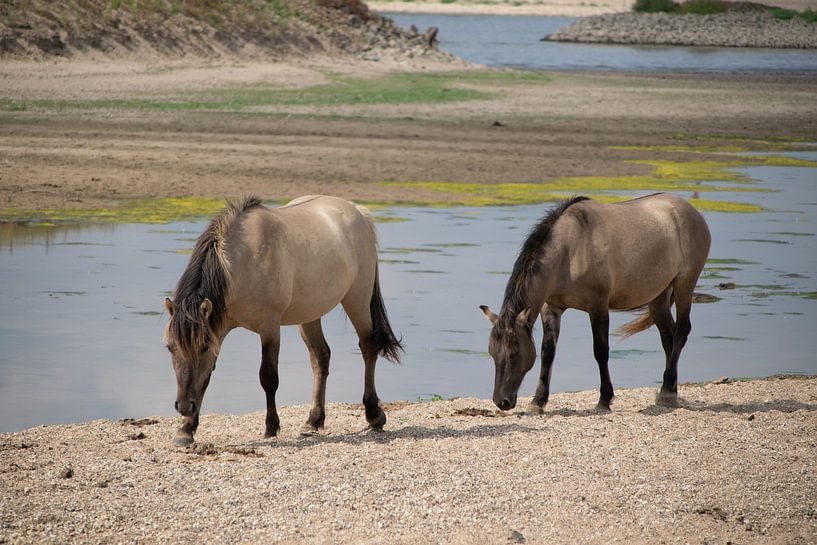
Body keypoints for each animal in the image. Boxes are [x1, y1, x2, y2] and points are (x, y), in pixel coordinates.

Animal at [163, 195, 403, 445]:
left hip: (357, 300)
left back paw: (374, 414)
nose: (184, 406)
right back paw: (313, 421)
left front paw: (271, 427)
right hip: (309, 314)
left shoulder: (269, 327)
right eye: (170, 347)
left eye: (203, 347)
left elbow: (268, 378)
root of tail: (357, 211)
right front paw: (186, 430)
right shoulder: (218, 330)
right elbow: (205, 378)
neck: (242, 261)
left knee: (368, 347)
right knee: (321, 357)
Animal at [480, 193, 711, 413]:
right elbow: (548, 353)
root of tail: (692, 211)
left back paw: (667, 392)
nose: (502, 401)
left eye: (514, 354)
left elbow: (600, 351)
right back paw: (669, 389)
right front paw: (538, 401)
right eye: (492, 353)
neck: (569, 251)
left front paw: (604, 400)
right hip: (658, 296)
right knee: (668, 338)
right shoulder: (551, 308)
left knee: (681, 331)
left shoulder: (598, 306)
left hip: (684, 284)